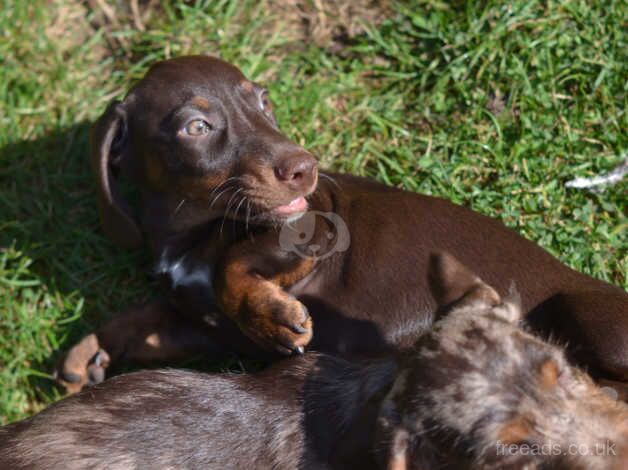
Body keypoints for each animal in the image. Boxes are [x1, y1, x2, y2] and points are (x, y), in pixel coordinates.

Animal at [59, 54, 628, 392]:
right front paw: (88, 353)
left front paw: (274, 315)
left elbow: (234, 263)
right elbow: (144, 317)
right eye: (195, 127)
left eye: (263, 101)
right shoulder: (206, 329)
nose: (304, 168)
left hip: (586, 313)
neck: (192, 232)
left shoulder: (316, 229)